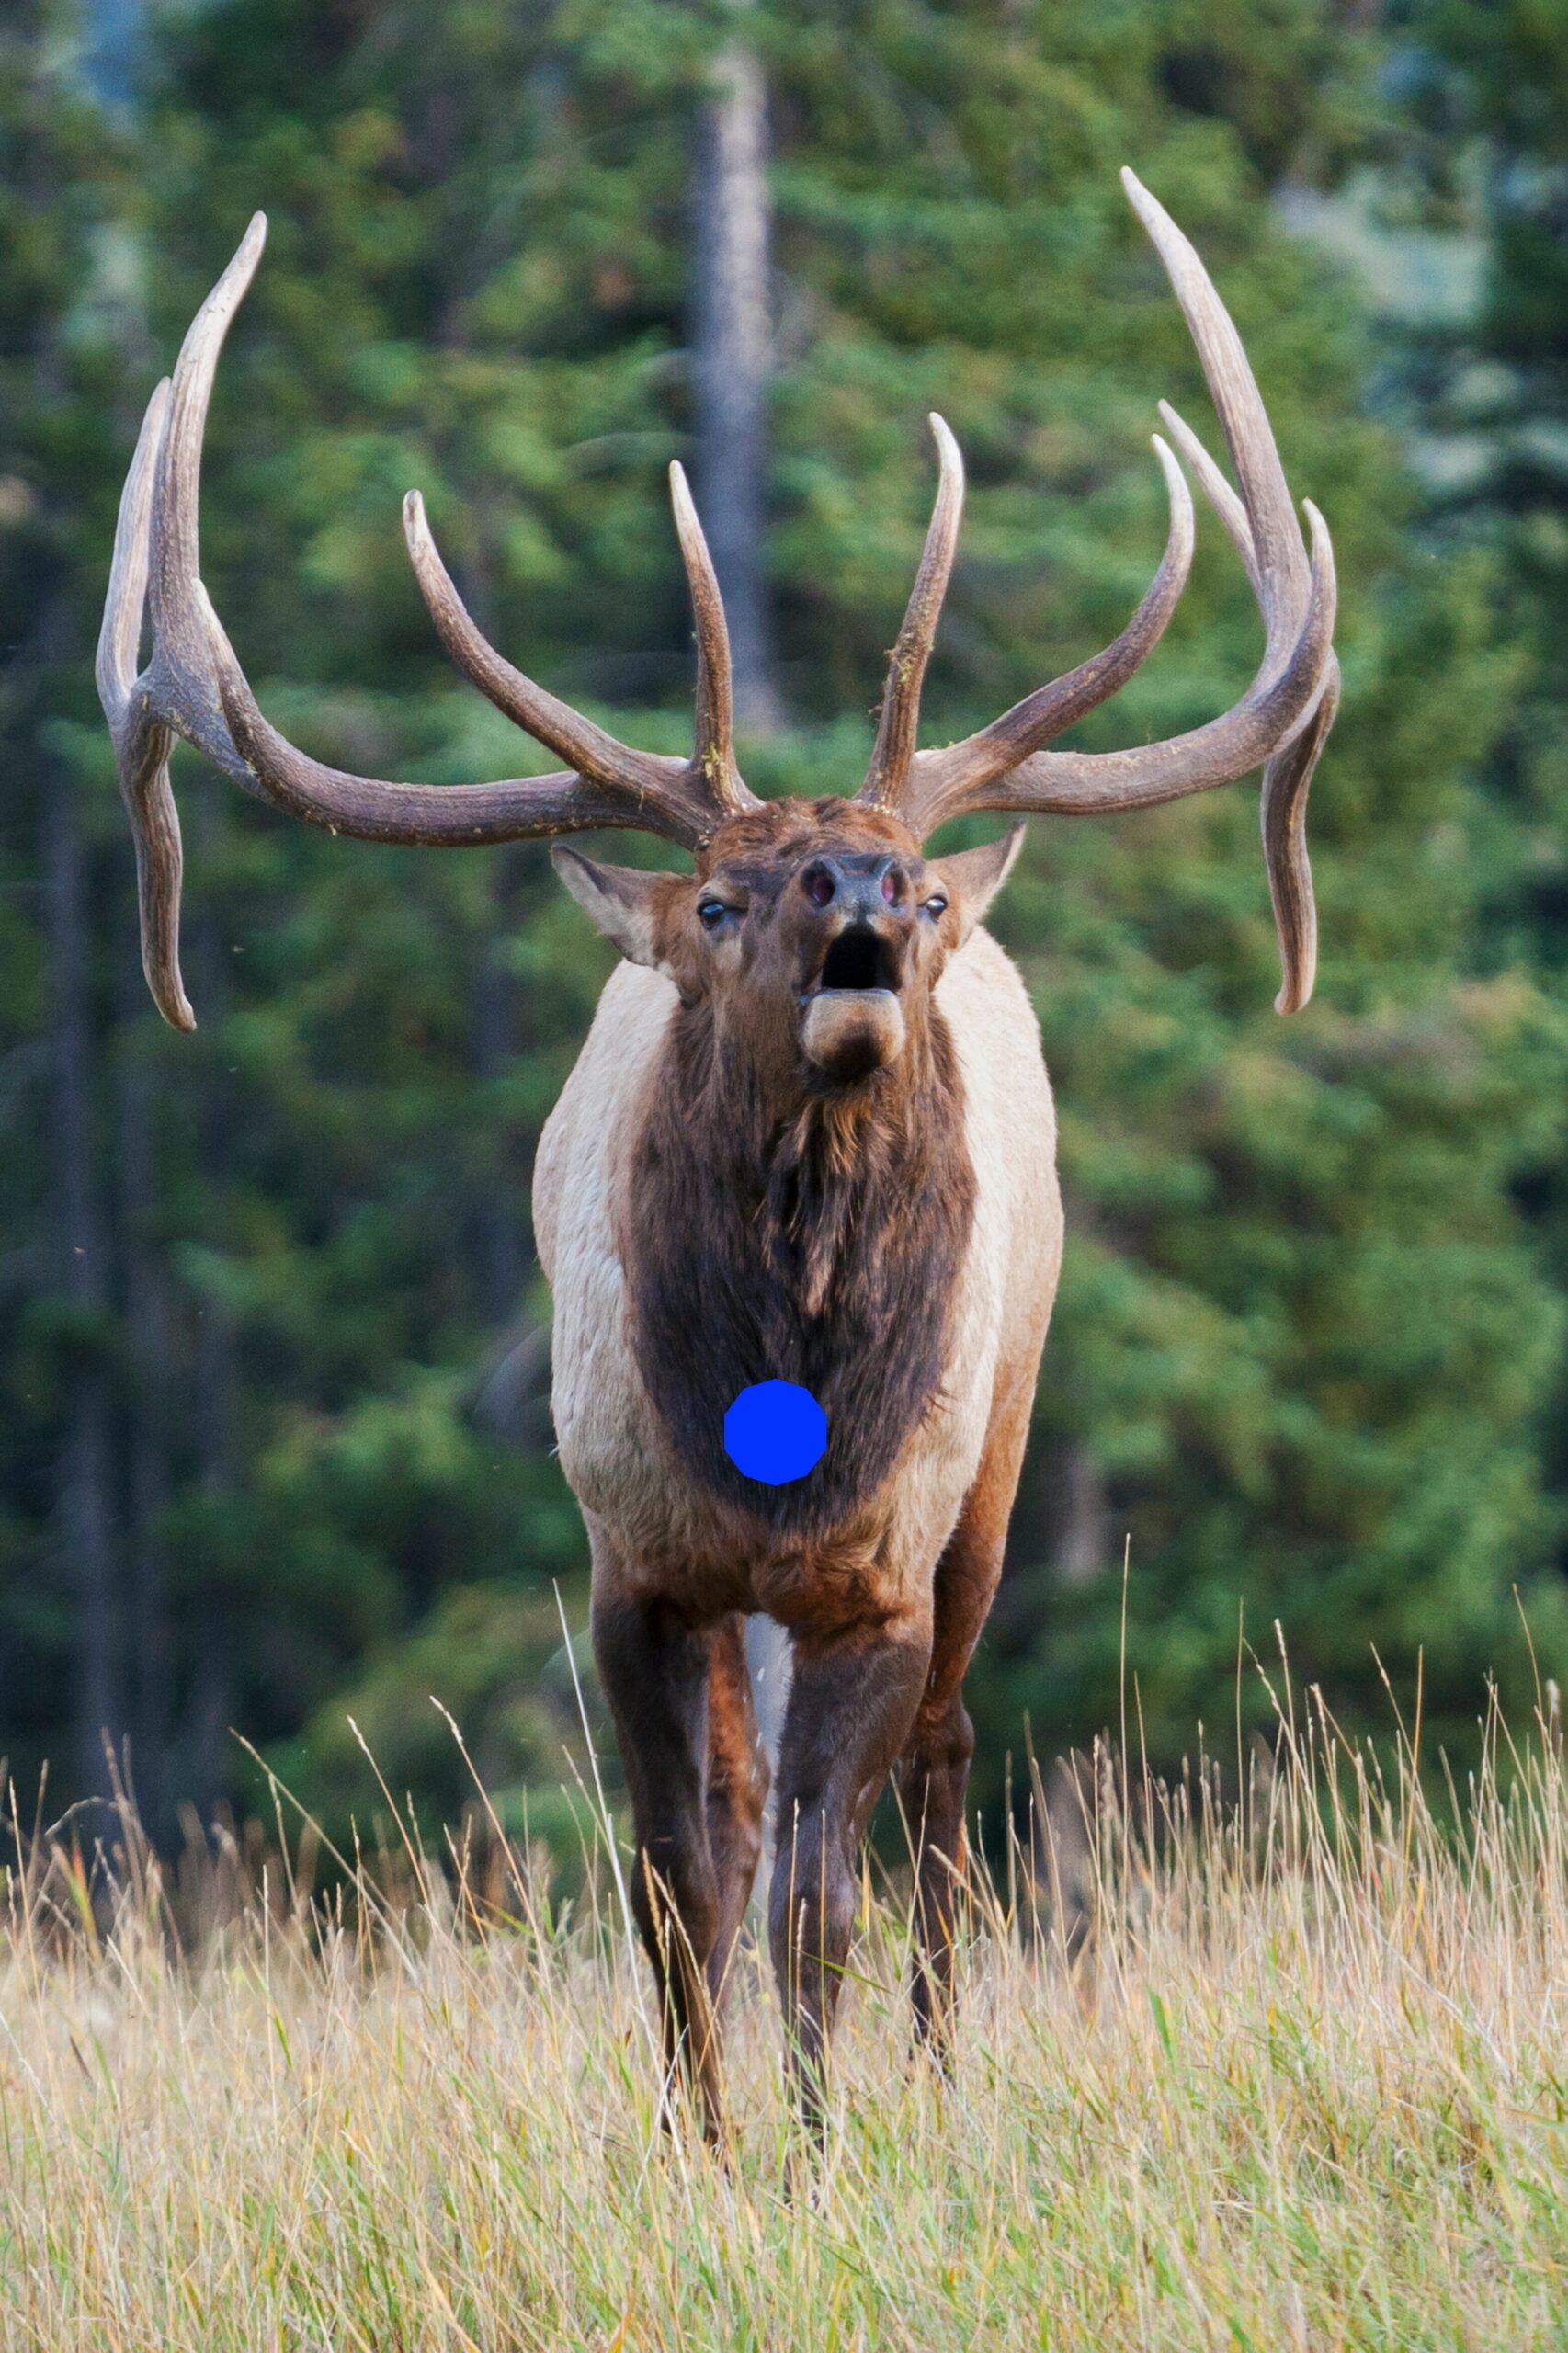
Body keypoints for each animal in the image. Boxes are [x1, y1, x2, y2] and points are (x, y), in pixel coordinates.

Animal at [98, 169, 1339, 2140]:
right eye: (721, 896)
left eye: (914, 890)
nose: (865, 896)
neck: (776, 1411)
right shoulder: (634, 1560)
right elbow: (677, 1877)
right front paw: (700, 2137)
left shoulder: (881, 1572)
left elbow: (824, 1890)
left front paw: (823, 2142)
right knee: (754, 1825)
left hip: (999, 1464)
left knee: (944, 1778)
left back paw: (932, 2066)